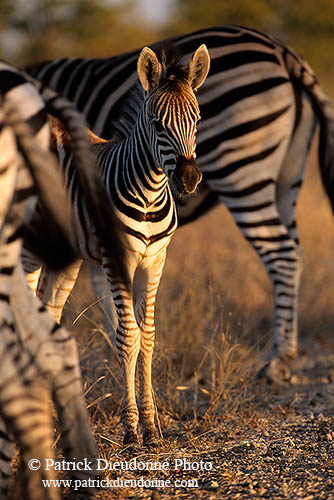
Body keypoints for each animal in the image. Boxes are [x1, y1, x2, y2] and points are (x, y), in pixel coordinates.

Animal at [23, 45, 210, 446]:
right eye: (157, 123)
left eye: (197, 120)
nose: (189, 180)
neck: (150, 193)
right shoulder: (116, 259)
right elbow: (128, 336)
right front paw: (130, 429)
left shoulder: (156, 259)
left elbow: (149, 334)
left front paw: (152, 428)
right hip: (28, 250)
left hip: (66, 258)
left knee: (49, 318)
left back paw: (51, 418)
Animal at [25, 24, 334, 382]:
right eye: (157, 124)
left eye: (197, 121)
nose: (188, 178)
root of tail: (285, 52)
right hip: (288, 178)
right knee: (295, 250)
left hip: (242, 170)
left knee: (282, 255)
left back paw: (277, 361)